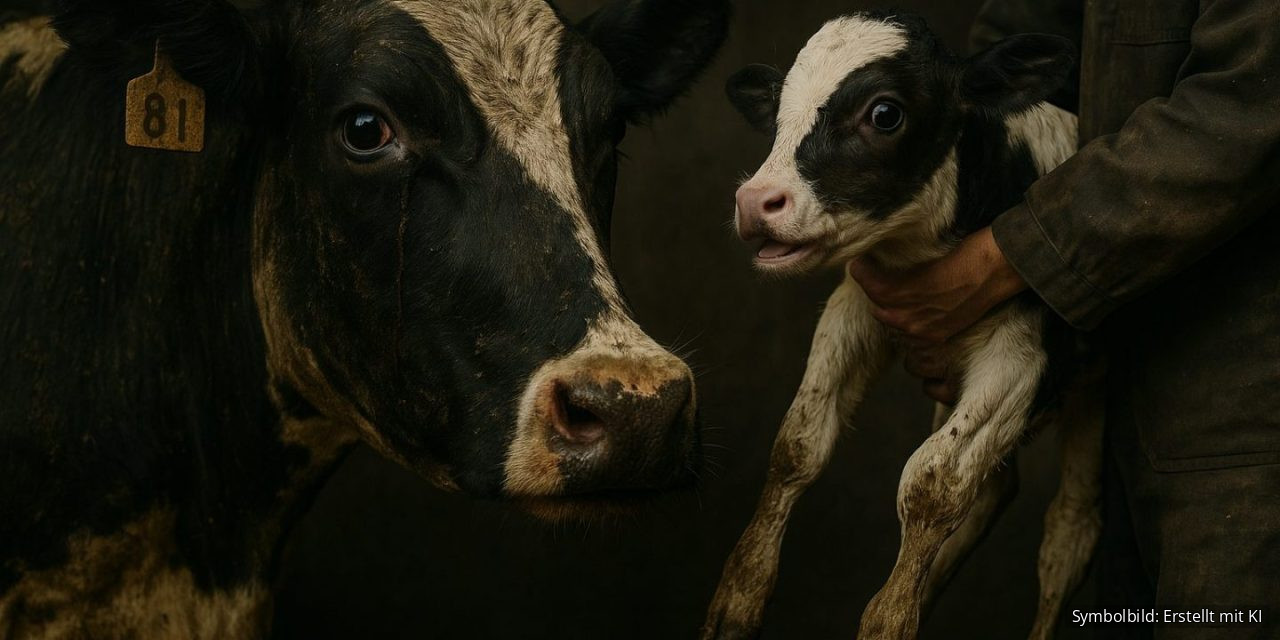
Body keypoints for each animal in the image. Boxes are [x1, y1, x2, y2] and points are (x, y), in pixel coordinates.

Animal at [700, 11, 1102, 640]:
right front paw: (739, 595)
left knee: (1068, 532)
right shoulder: (855, 309)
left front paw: (888, 620)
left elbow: (932, 481)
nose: (754, 201)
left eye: (884, 113)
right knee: (993, 491)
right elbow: (797, 443)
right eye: (779, 114)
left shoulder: (1022, 357)